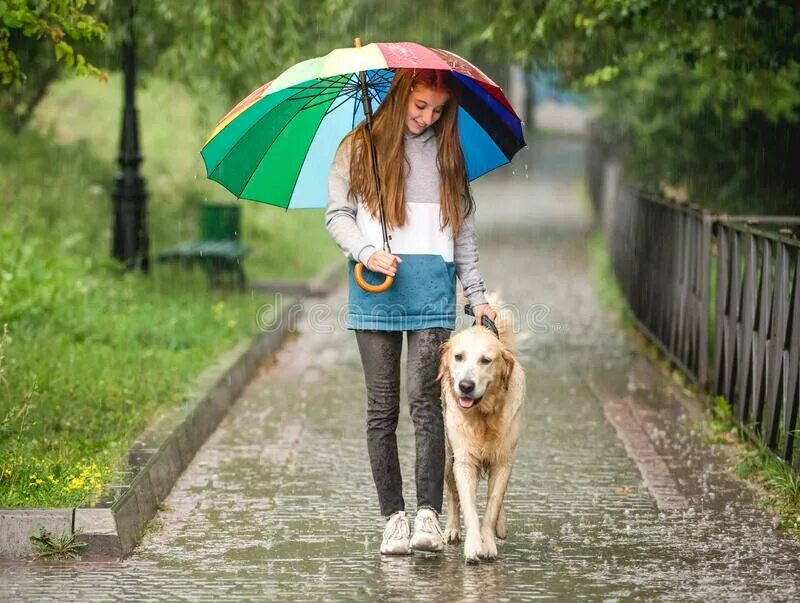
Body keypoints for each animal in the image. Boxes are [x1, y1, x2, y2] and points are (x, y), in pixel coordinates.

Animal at [438, 304, 524, 564]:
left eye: (486, 360)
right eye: (458, 357)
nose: (465, 386)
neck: (483, 414)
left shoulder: (504, 459)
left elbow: (493, 505)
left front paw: (489, 543)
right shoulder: (464, 458)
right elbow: (468, 504)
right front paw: (474, 545)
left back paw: (500, 526)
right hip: (447, 455)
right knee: (452, 494)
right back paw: (452, 529)